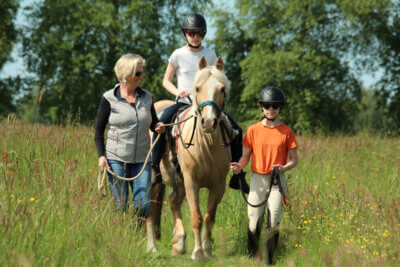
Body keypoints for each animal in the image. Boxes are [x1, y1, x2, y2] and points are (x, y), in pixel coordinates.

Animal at [147, 57, 231, 262]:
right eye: (198, 88)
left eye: (222, 89)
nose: (208, 122)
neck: (206, 146)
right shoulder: (192, 182)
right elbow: (197, 217)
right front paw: (198, 253)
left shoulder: (218, 185)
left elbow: (209, 217)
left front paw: (207, 250)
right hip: (153, 180)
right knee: (150, 209)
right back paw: (152, 247)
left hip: (180, 182)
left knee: (173, 201)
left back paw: (179, 243)